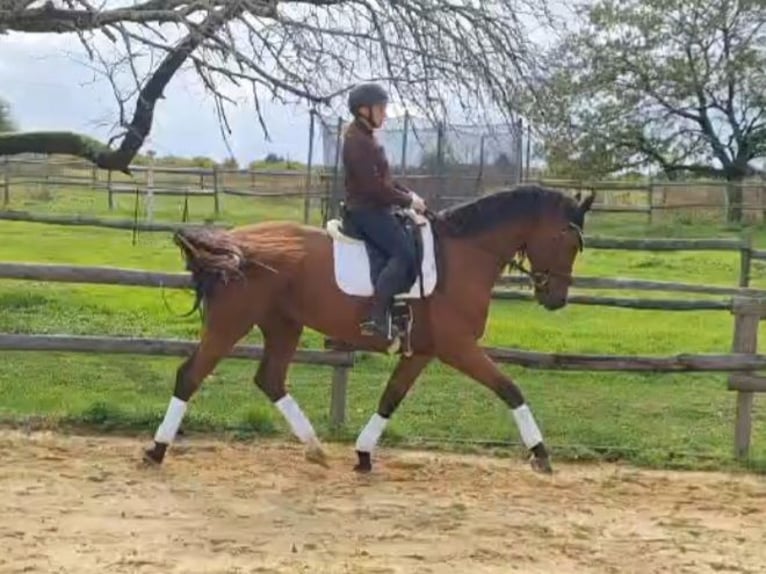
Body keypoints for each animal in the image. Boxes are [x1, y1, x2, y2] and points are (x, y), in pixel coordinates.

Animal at [146, 186, 600, 476]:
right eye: (569, 241)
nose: (556, 298)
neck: (464, 255)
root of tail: (233, 243)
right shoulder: (458, 347)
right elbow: (510, 389)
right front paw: (540, 454)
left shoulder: (422, 351)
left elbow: (391, 397)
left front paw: (363, 454)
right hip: (231, 323)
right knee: (191, 375)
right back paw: (156, 450)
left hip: (283, 324)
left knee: (270, 380)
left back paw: (315, 449)